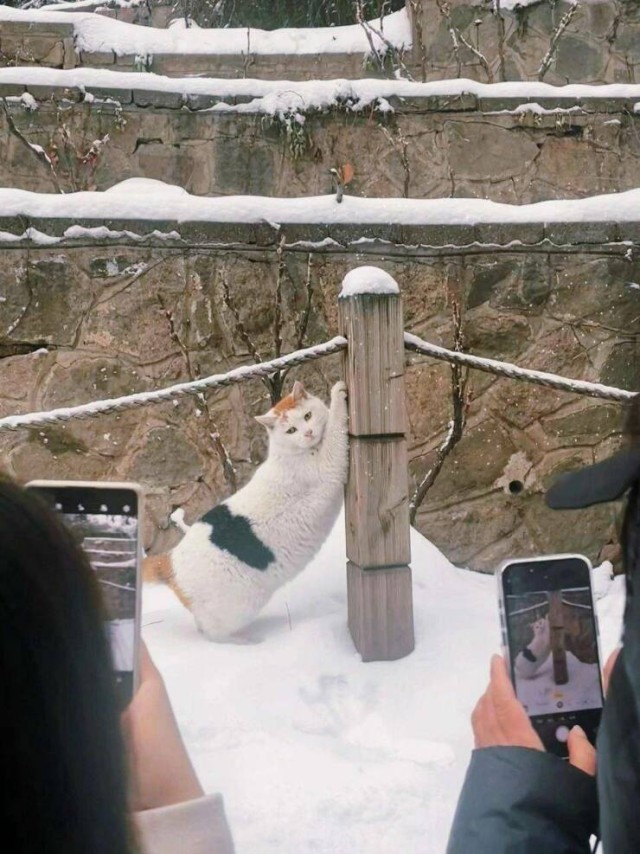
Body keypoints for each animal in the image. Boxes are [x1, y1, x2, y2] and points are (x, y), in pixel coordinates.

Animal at [144, 382, 348, 640]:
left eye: (307, 416)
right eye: (291, 430)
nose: (308, 433)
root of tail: (169, 560)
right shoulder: (328, 466)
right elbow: (336, 431)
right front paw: (338, 392)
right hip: (233, 613)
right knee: (211, 635)